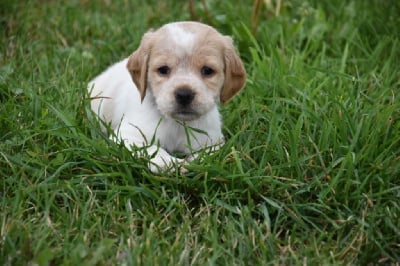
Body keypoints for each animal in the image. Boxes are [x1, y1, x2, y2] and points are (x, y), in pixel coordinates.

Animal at [88, 21, 245, 174]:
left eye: (207, 70)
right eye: (163, 69)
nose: (184, 94)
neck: (178, 124)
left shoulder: (212, 142)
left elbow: (207, 156)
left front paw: (194, 164)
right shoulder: (127, 136)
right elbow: (152, 150)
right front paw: (173, 163)